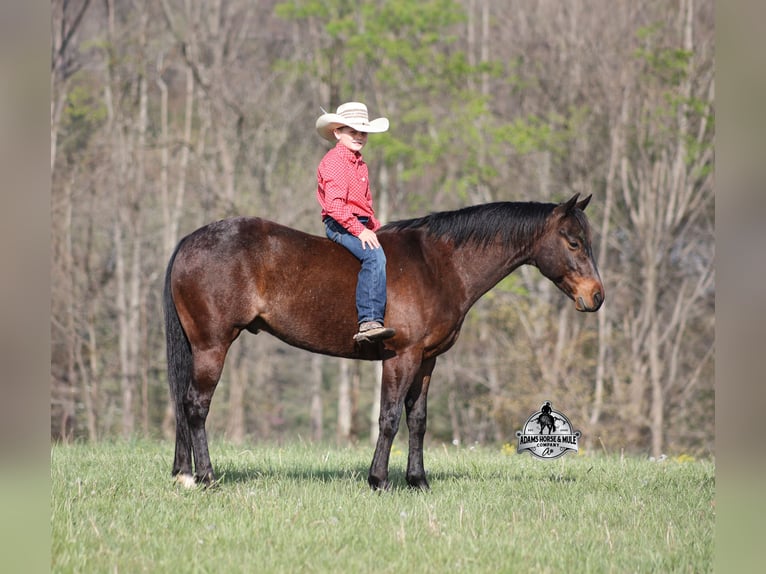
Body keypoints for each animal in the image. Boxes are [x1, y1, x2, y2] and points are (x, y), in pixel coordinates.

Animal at [163, 193, 604, 490]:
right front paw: (378, 480)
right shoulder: (401, 357)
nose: (596, 296)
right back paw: (205, 477)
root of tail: (189, 240)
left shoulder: (426, 360)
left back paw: (183, 473)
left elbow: (418, 420)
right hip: (212, 346)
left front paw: (418, 480)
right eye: (572, 241)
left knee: (184, 405)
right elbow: (389, 417)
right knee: (196, 406)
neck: (437, 265)